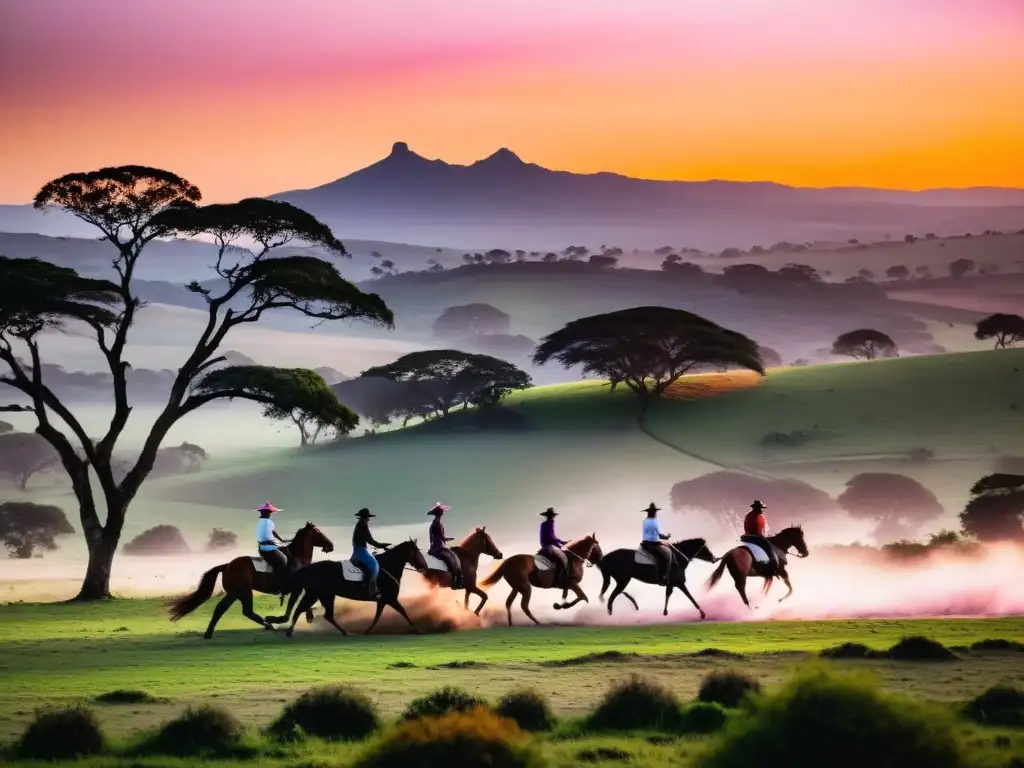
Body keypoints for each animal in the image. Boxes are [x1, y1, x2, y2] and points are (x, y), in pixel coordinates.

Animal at [167, 520, 333, 638]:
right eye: (319, 533)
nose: (330, 545)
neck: (298, 558)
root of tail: (227, 565)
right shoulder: (296, 589)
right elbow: (290, 611)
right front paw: (276, 619)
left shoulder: (300, 588)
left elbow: (305, 603)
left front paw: (310, 615)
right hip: (242, 592)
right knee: (242, 611)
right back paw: (268, 624)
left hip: (235, 594)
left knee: (224, 609)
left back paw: (210, 633)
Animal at [272, 536, 428, 638]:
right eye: (416, 552)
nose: (424, 567)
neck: (386, 566)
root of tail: (308, 568)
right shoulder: (391, 599)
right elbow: (403, 612)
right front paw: (416, 630)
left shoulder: (383, 601)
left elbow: (377, 616)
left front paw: (367, 631)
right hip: (316, 594)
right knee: (302, 609)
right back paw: (290, 631)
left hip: (324, 595)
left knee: (326, 615)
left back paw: (343, 631)